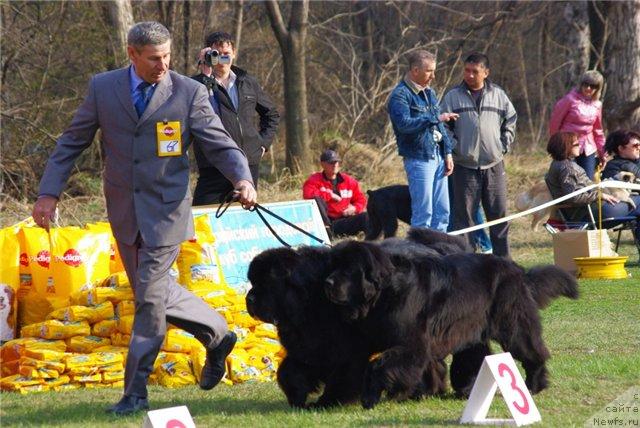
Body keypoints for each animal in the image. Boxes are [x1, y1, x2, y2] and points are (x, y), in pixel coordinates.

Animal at [324, 241, 580, 408]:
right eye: (333, 267)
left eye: (348, 269)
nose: (327, 282)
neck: (384, 291)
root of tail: (517, 270)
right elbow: (425, 366)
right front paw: (423, 392)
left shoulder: (411, 344)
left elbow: (379, 365)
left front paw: (371, 397)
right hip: (470, 327)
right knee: (475, 356)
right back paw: (468, 390)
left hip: (512, 324)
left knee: (531, 351)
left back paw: (534, 384)